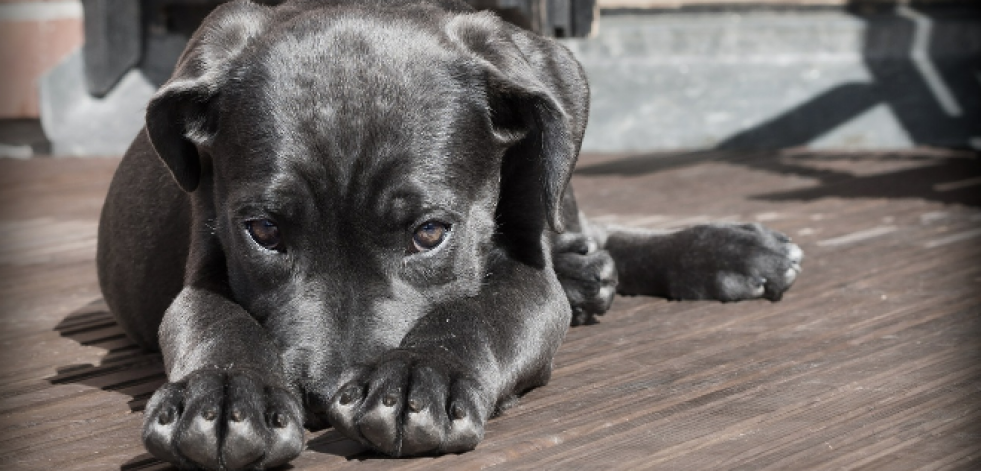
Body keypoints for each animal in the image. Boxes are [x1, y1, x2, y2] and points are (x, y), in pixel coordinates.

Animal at [97, 1, 804, 470]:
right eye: (264, 231)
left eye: (431, 233)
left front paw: (420, 377)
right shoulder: (205, 259)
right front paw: (224, 395)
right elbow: (213, 319)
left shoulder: (526, 272)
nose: (323, 396)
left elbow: (481, 312)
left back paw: (722, 250)